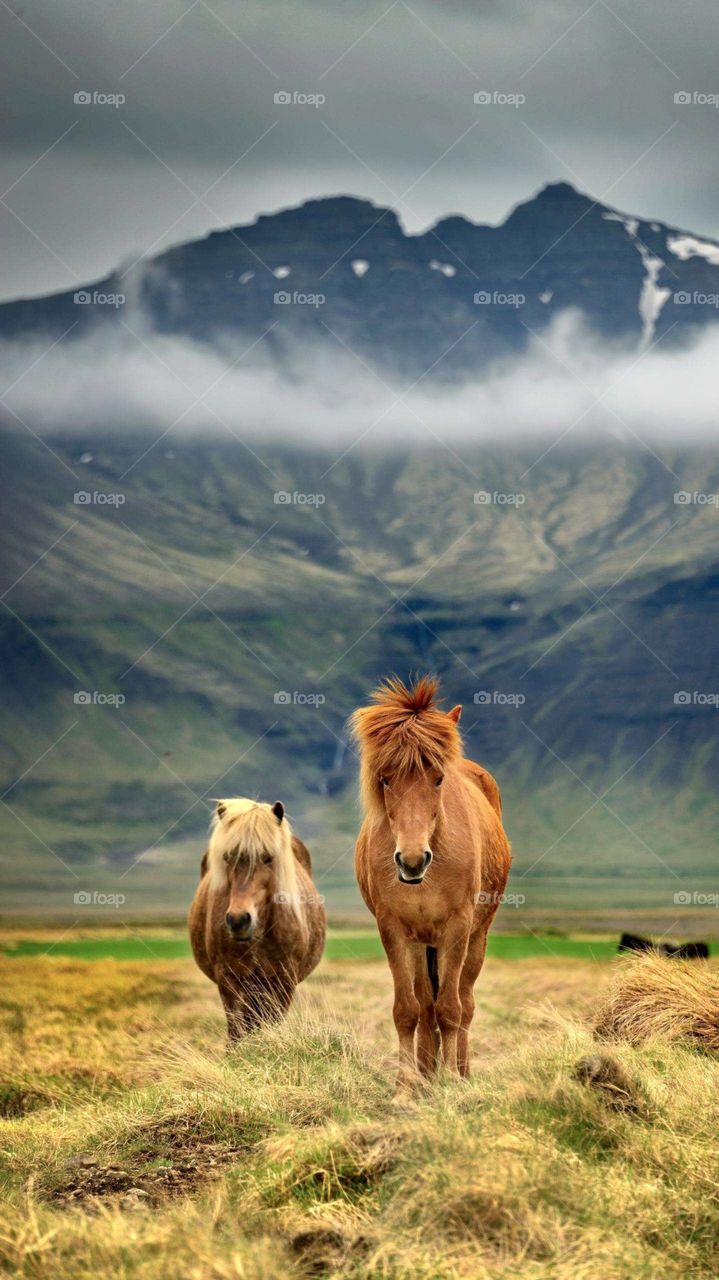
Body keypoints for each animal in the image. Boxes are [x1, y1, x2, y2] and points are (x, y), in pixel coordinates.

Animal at [188, 798, 326, 1042]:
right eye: (227, 858)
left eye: (268, 858)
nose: (238, 920)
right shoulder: (229, 979)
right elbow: (237, 1031)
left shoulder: (283, 981)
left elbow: (272, 1022)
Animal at [351, 676, 511, 1093]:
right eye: (385, 779)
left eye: (438, 779)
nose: (412, 860)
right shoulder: (394, 929)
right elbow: (408, 1009)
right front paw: (406, 1085)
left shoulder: (457, 928)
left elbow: (451, 1009)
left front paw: (452, 1080)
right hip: (422, 944)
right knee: (425, 1004)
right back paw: (425, 1072)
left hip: (476, 936)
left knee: (464, 1002)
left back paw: (460, 1071)